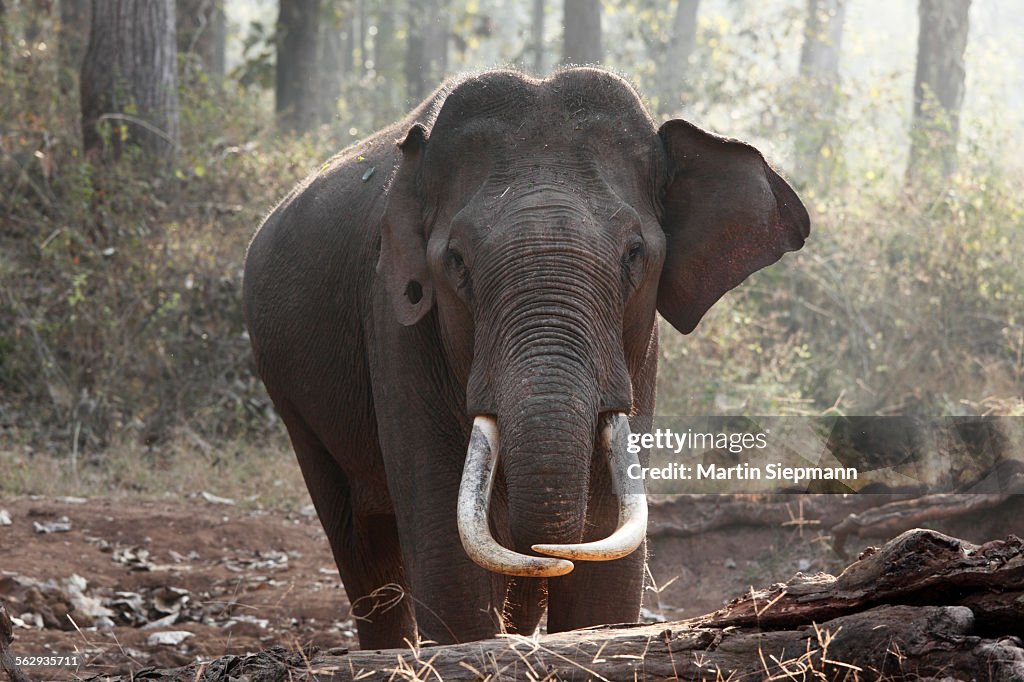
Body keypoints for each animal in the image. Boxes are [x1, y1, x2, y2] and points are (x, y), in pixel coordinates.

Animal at [241, 66, 806, 647]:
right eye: (456, 261)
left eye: (635, 253)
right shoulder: (395, 322)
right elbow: (449, 562)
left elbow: (605, 553)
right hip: (292, 398)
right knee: (360, 548)